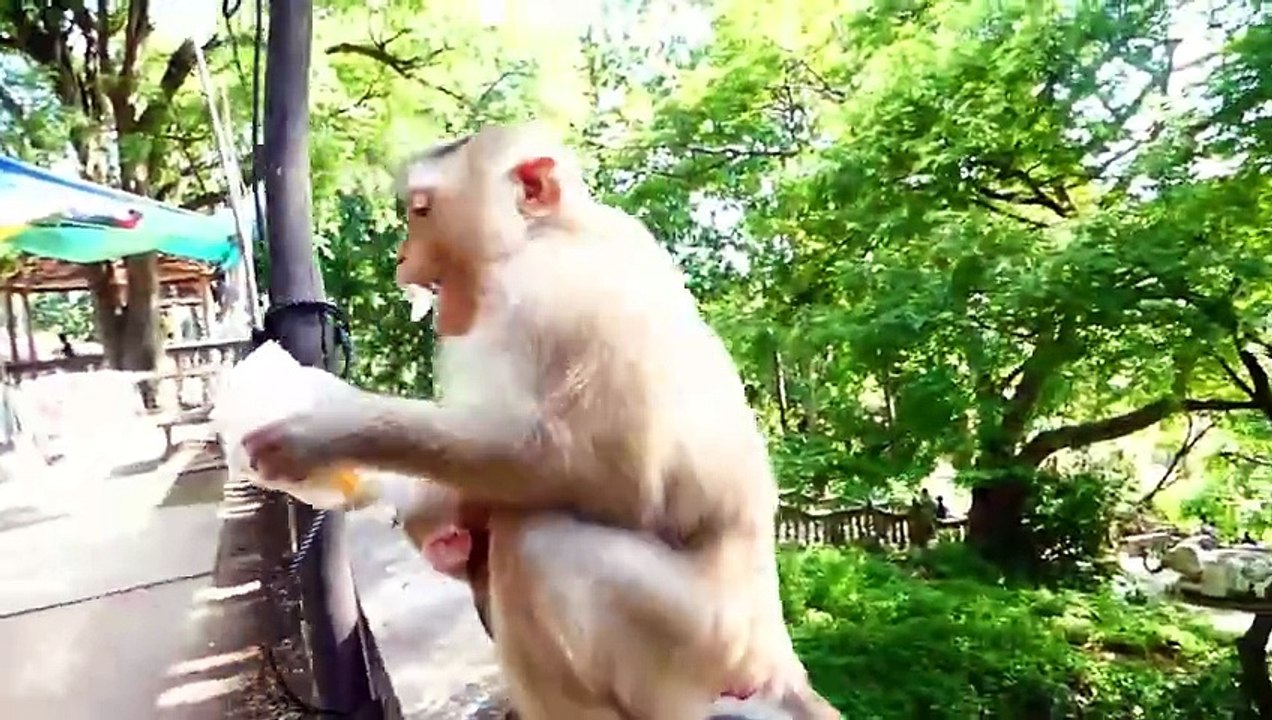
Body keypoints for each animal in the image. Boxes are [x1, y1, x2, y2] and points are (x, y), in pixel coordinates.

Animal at [241, 122, 840, 720]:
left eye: (421, 210)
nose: (403, 260)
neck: (551, 231)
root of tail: (777, 662)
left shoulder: (557, 291)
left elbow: (595, 468)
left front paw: (321, 428)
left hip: (703, 646)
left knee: (531, 542)